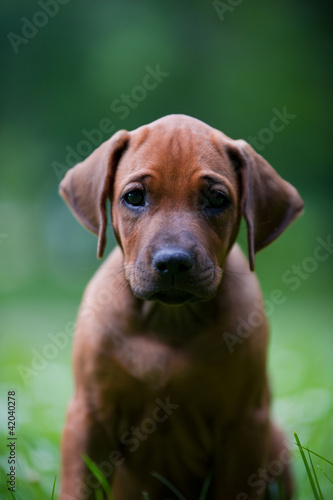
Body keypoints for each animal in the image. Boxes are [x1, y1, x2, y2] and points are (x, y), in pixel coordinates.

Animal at [58, 114, 302, 500]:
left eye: (217, 199)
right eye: (134, 197)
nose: (173, 262)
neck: (170, 319)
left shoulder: (243, 424)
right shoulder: (88, 416)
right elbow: (77, 487)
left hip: (273, 439)